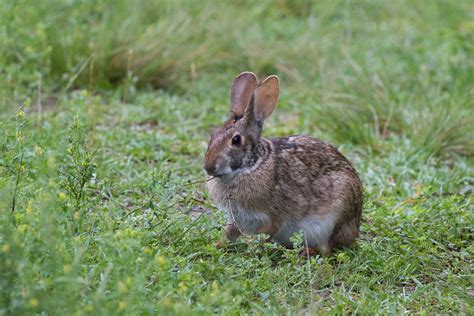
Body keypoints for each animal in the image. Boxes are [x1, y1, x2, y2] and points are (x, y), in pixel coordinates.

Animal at [204, 72, 362, 256]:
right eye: (213, 135)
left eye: (236, 140)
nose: (208, 167)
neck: (252, 166)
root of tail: (354, 230)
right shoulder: (236, 219)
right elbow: (229, 233)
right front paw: (216, 247)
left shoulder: (272, 218)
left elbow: (266, 234)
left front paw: (251, 251)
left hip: (332, 216)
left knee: (328, 248)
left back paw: (306, 253)